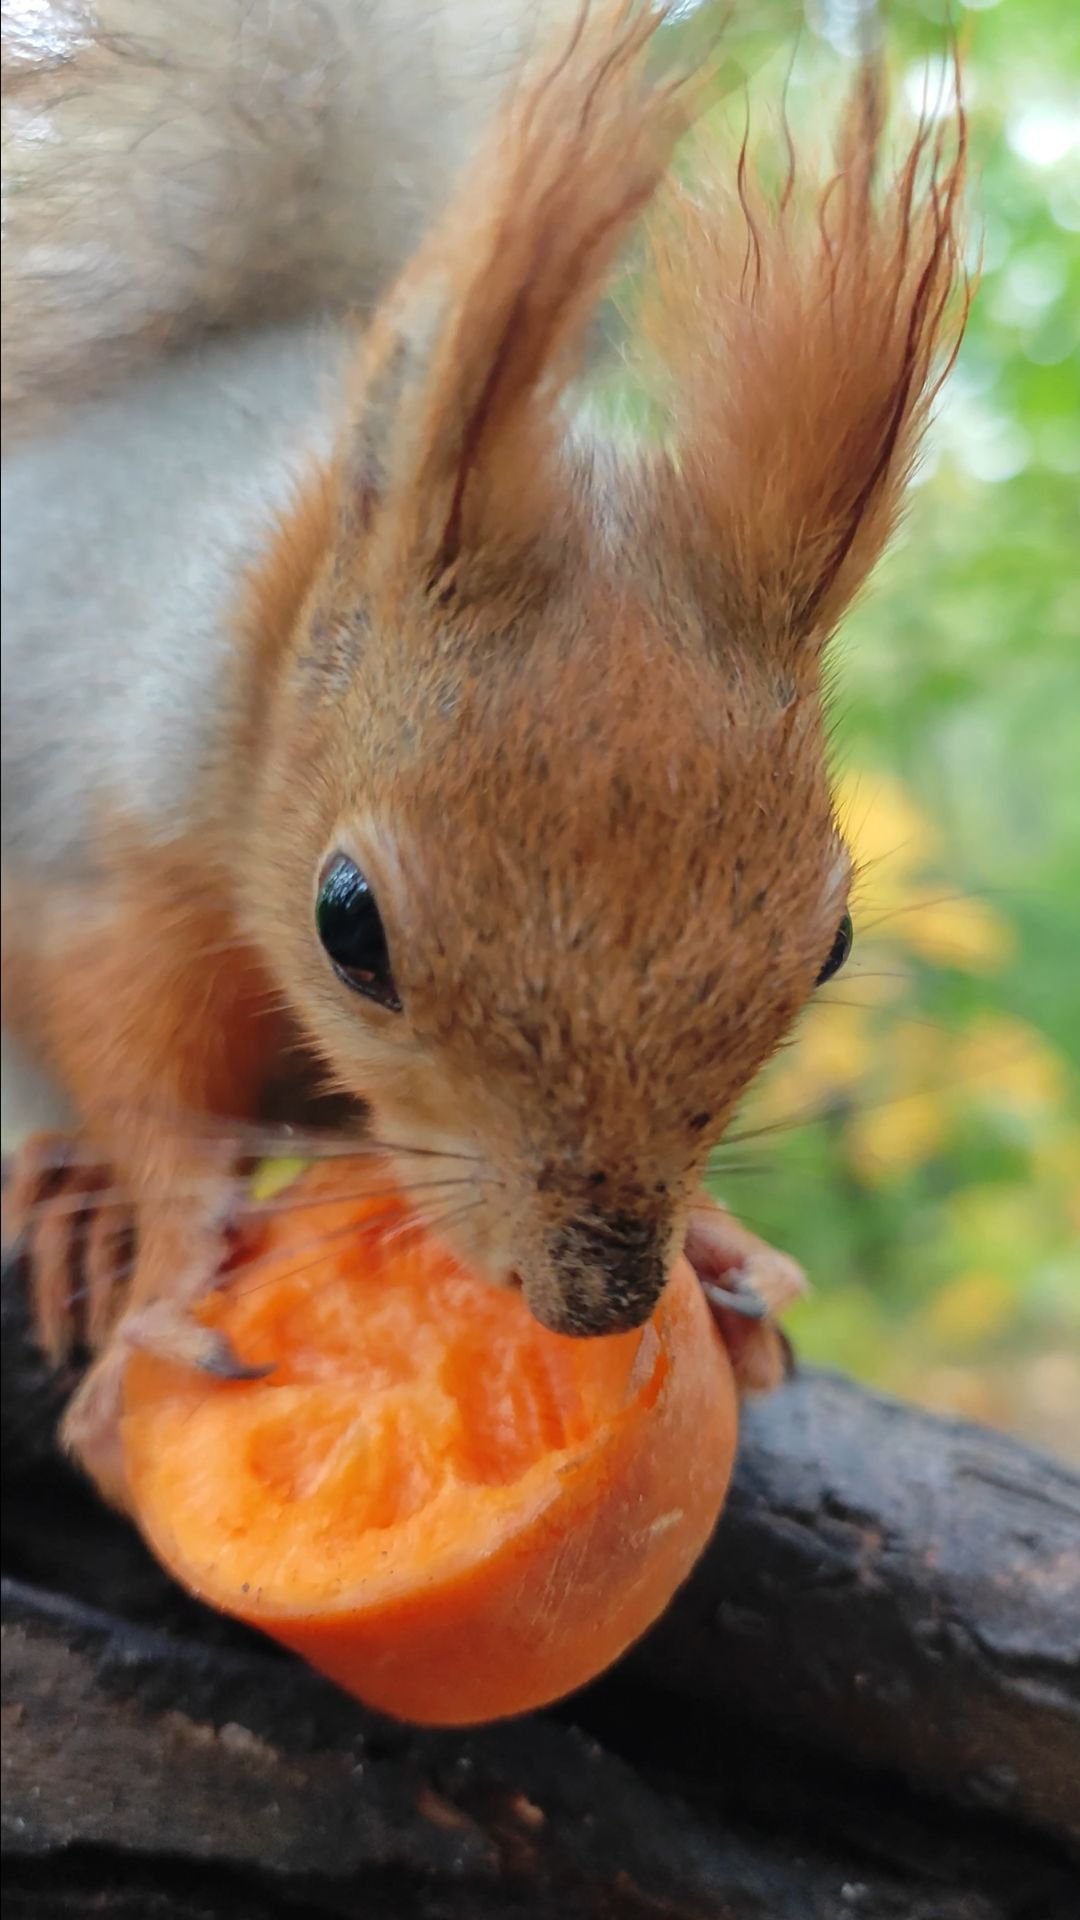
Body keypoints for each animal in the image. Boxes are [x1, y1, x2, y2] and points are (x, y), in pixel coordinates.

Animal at [1, 1, 967, 1509]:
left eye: (836, 944)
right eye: (348, 927)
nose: (597, 1297)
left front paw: (722, 1245)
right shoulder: (104, 868)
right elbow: (147, 1084)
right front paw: (167, 1277)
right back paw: (59, 1191)